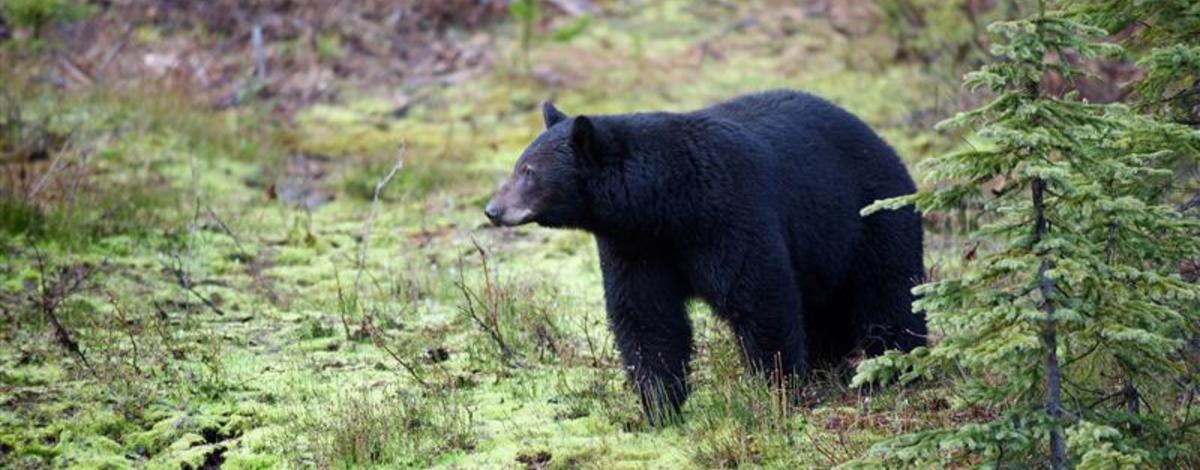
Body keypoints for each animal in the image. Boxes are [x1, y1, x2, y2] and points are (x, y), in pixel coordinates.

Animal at [482, 89, 921, 419]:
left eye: (529, 172)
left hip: (872, 217)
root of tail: (884, 144)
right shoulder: (633, 244)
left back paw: (895, 368)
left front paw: (780, 392)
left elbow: (760, 297)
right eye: (519, 165)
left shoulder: (729, 213)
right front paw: (658, 407)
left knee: (889, 295)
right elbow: (646, 317)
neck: (665, 203)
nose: (492, 210)